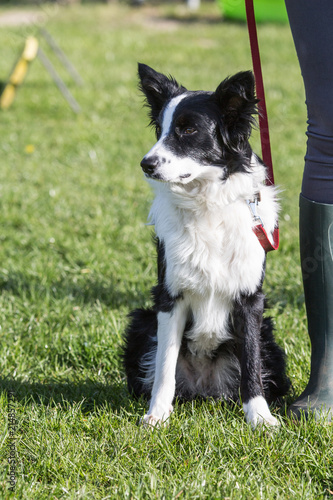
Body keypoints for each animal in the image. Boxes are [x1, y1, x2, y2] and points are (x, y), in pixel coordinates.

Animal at [123, 63, 290, 430]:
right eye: (160, 129)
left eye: (188, 130)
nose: (145, 164)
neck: (207, 203)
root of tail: (205, 389)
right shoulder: (169, 297)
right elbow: (165, 366)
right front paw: (157, 415)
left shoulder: (250, 300)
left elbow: (251, 363)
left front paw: (260, 417)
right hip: (141, 320)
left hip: (269, 334)